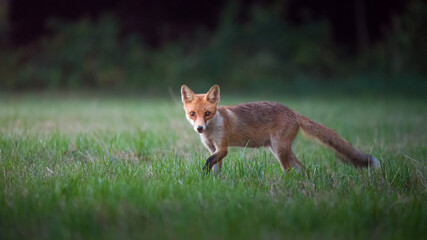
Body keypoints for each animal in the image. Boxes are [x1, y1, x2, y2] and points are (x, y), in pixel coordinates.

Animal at [181, 84, 382, 172]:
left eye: (207, 113)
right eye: (193, 114)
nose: (199, 128)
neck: (211, 131)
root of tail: (293, 111)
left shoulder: (222, 148)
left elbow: (208, 161)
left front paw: (204, 173)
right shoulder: (213, 149)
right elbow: (215, 168)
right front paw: (212, 180)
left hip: (279, 149)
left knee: (289, 170)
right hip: (281, 149)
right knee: (301, 168)